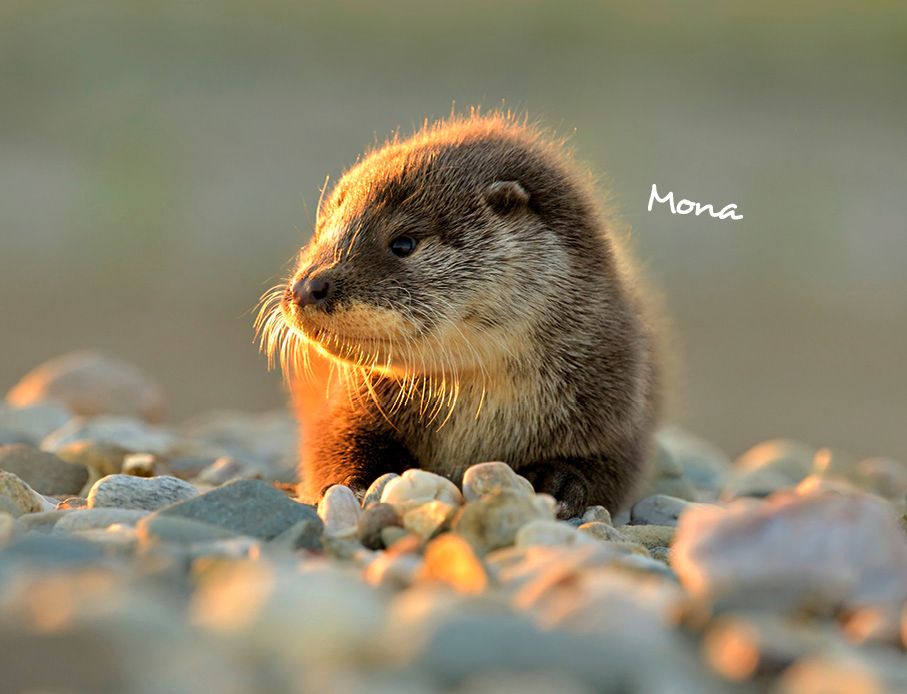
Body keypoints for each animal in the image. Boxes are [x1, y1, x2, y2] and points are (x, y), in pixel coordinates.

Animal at [257, 114, 661, 517]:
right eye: (321, 232)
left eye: (403, 243)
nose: (307, 286)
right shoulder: (344, 404)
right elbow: (332, 446)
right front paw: (358, 486)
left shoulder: (618, 405)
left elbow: (607, 467)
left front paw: (560, 482)